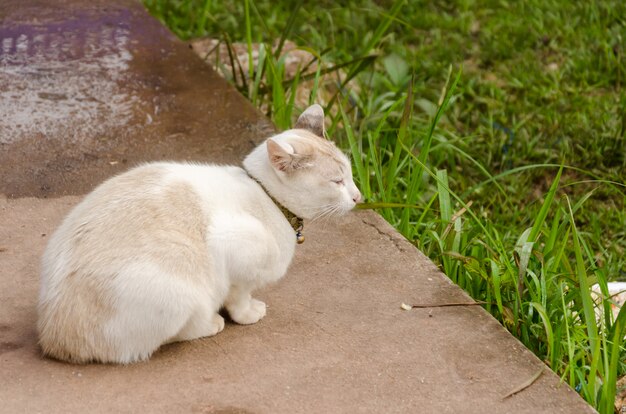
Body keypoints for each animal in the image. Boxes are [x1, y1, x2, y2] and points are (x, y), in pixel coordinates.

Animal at [37, 105, 360, 364]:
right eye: (337, 181)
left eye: (351, 174)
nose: (358, 197)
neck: (268, 198)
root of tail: (53, 338)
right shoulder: (230, 248)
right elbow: (239, 296)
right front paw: (248, 314)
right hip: (181, 287)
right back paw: (211, 323)